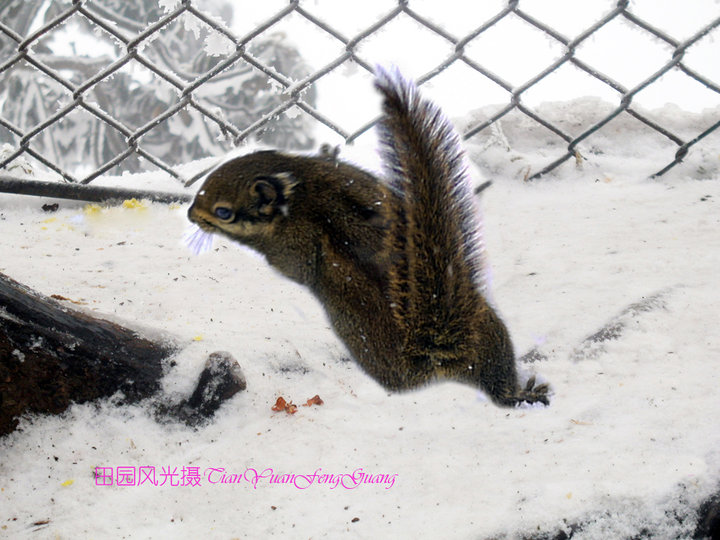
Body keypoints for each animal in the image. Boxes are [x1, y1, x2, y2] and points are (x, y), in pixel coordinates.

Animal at [188, 66, 548, 404]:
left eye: (223, 212)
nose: (192, 214)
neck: (300, 189)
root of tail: (435, 345)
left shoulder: (292, 248)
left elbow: (294, 268)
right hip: (492, 336)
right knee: (498, 378)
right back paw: (521, 393)